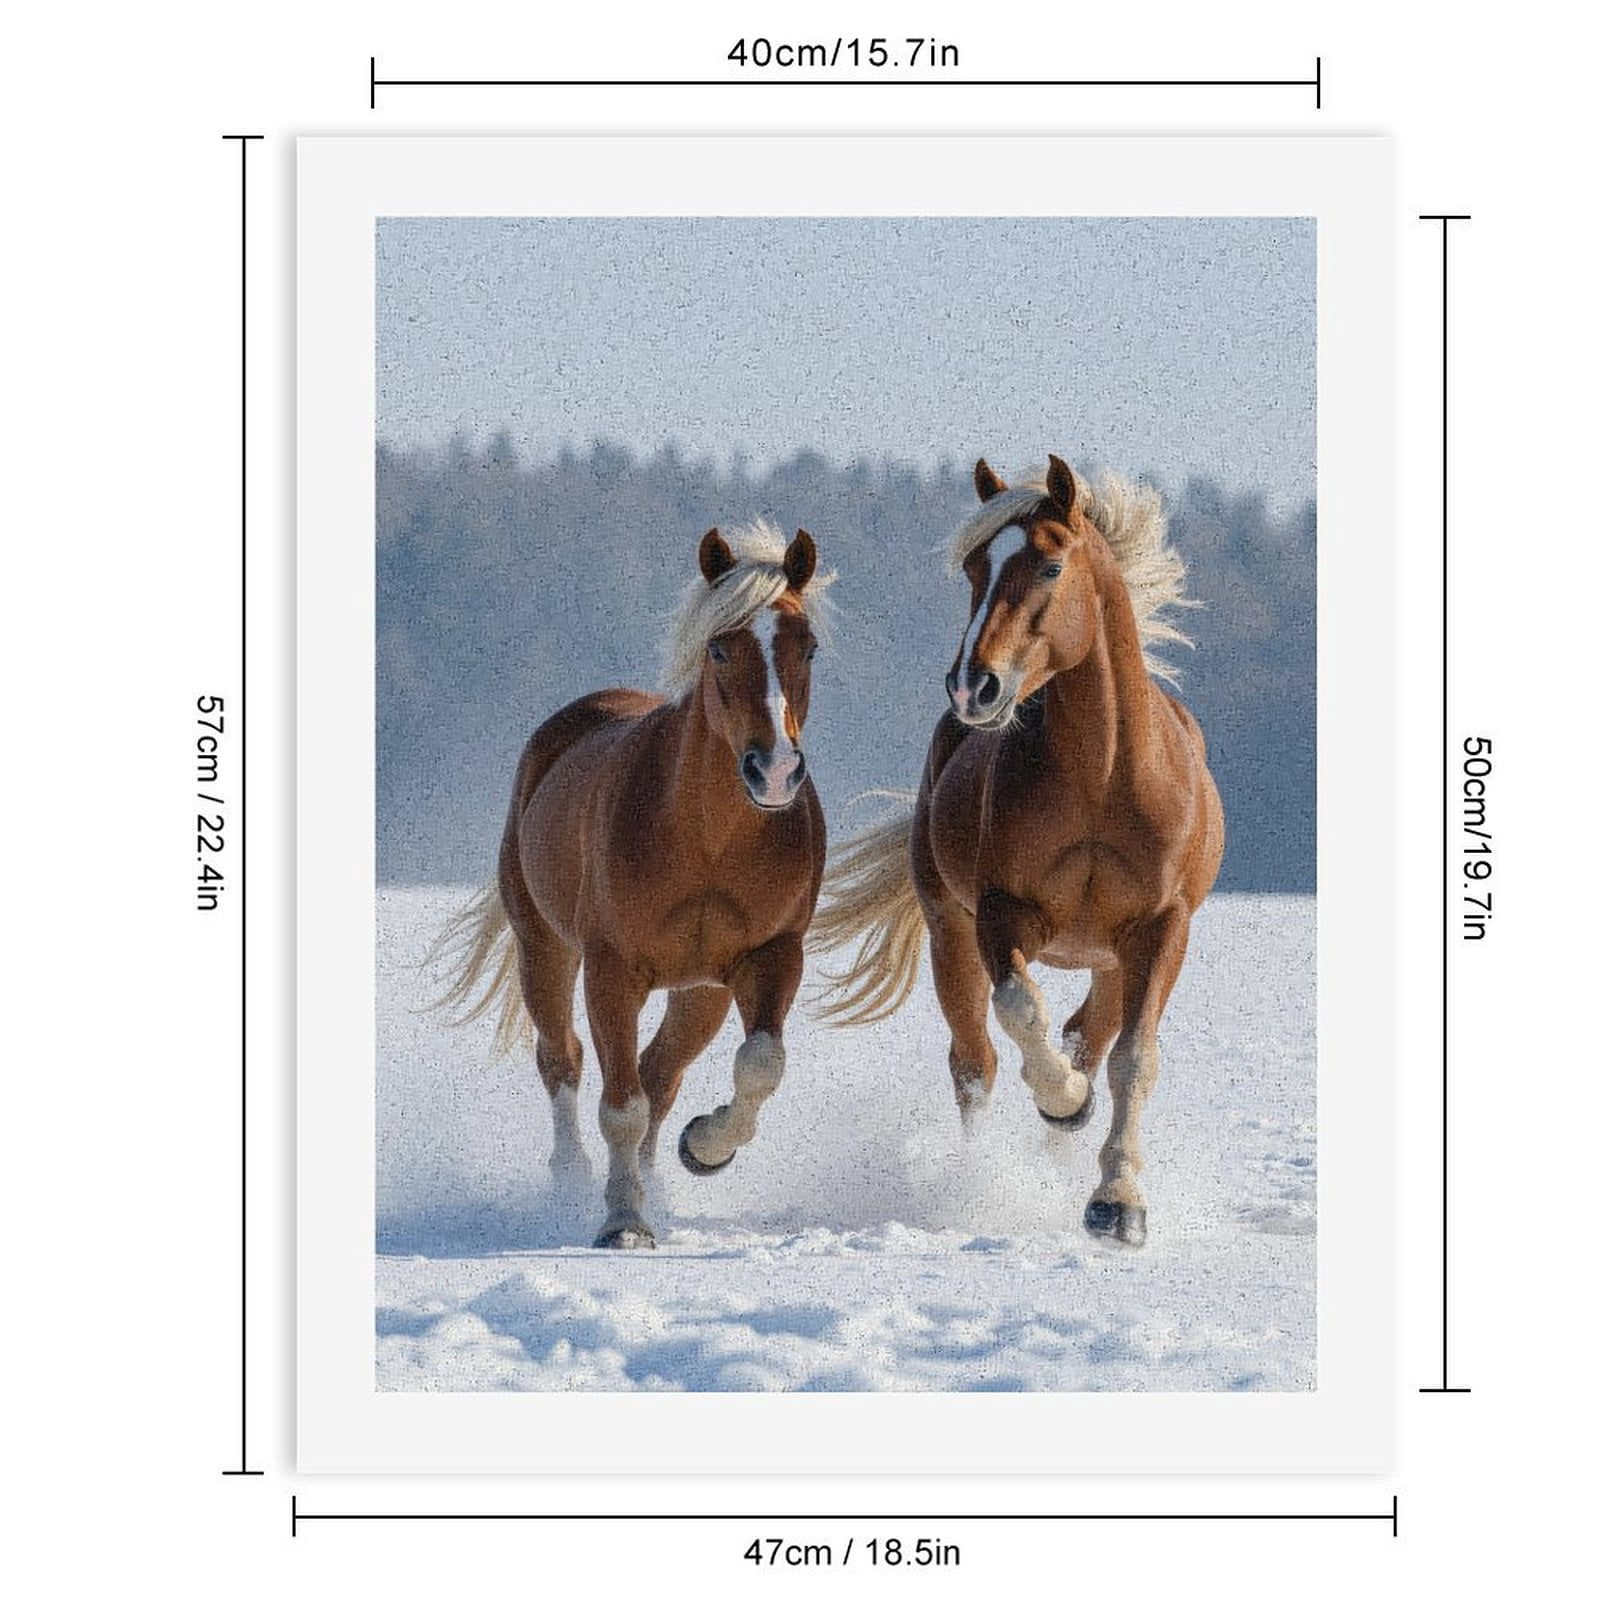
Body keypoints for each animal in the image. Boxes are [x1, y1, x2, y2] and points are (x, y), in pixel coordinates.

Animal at [432, 523, 830, 1248]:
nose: (775, 772)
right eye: (720, 647)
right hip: (544, 950)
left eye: (806, 645)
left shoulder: (771, 956)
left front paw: (704, 1147)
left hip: (700, 991)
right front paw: (621, 1221)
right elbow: (619, 1104)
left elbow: (759, 1065)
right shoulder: (612, 970)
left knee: (660, 1075)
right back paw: (572, 1181)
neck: (707, 837)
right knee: (562, 1059)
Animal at [811, 456, 1223, 1246]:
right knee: (974, 1061)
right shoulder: (1001, 915)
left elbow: (1133, 1060)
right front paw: (1065, 1100)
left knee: (1089, 1035)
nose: (973, 685)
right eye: (975, 566)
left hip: (1108, 959)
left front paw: (1117, 1202)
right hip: (950, 932)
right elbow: (1020, 1011)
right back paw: (982, 1177)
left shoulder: (1161, 929)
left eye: (1051, 565)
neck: (1103, 775)